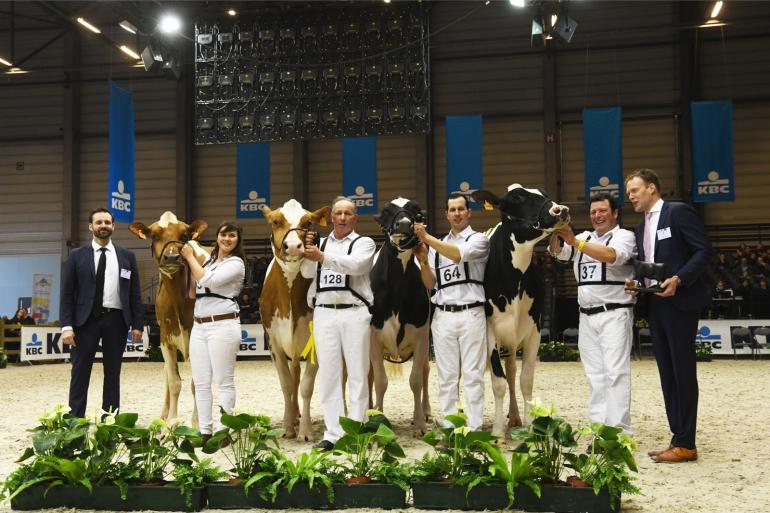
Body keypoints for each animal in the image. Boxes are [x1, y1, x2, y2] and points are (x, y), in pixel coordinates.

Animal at [128, 210, 207, 422]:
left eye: (184, 235)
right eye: (154, 235)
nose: (171, 257)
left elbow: (196, 383)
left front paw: (196, 423)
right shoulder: (165, 338)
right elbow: (174, 382)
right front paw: (171, 422)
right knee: (166, 374)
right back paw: (163, 414)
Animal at [260, 200, 328, 440]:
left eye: (308, 222)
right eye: (275, 221)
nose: (293, 246)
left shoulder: (315, 343)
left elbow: (306, 387)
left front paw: (306, 431)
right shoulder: (274, 345)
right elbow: (287, 385)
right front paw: (288, 427)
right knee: (294, 375)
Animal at [468, 184, 568, 436]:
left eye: (543, 194)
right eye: (518, 197)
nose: (560, 210)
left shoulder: (534, 331)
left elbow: (525, 380)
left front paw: (531, 426)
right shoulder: (490, 331)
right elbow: (498, 382)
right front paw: (496, 431)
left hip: (513, 340)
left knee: (512, 371)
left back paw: (513, 416)